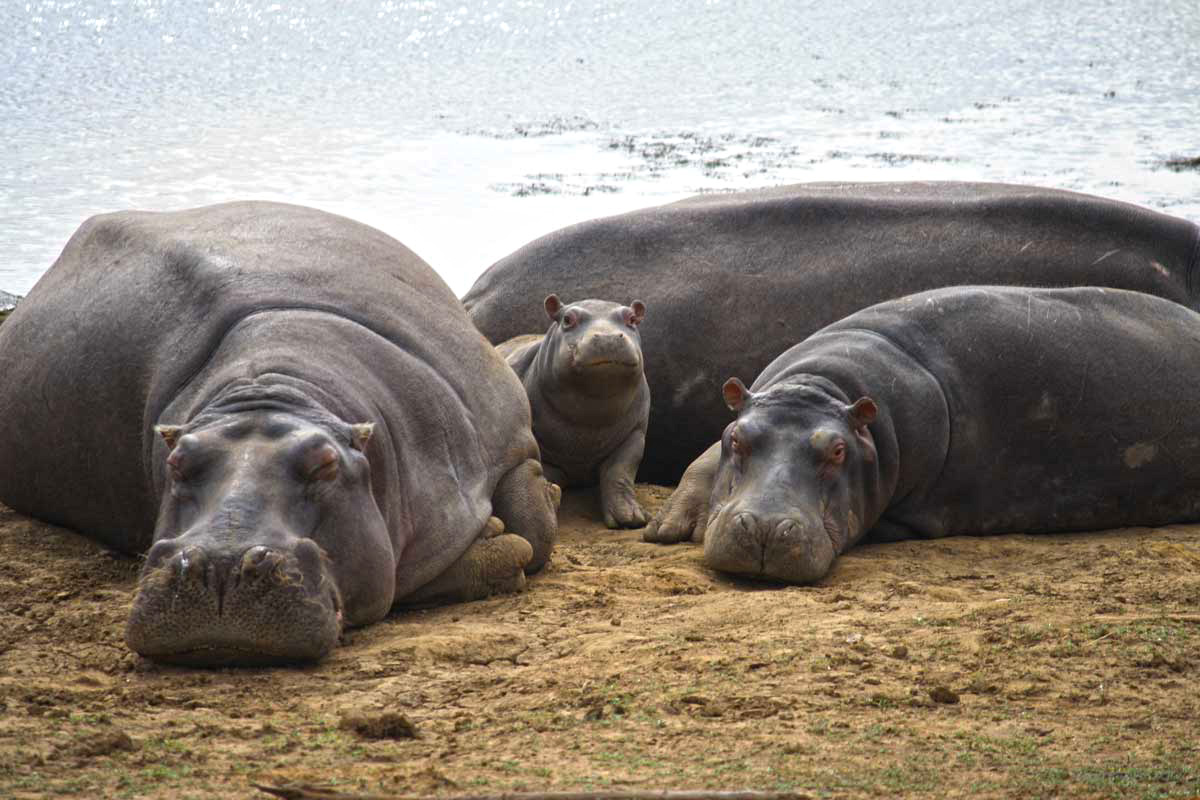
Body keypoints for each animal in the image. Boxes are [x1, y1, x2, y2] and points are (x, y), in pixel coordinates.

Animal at [0, 203, 559, 666]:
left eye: (324, 463)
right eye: (177, 462)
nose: (219, 564)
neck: (276, 388)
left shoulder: (509, 435)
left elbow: (535, 530)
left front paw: (538, 503)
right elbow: (507, 548)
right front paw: (494, 536)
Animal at [494, 297, 652, 527]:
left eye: (631, 318)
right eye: (567, 319)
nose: (608, 337)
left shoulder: (635, 433)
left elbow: (620, 470)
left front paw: (632, 519)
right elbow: (546, 469)